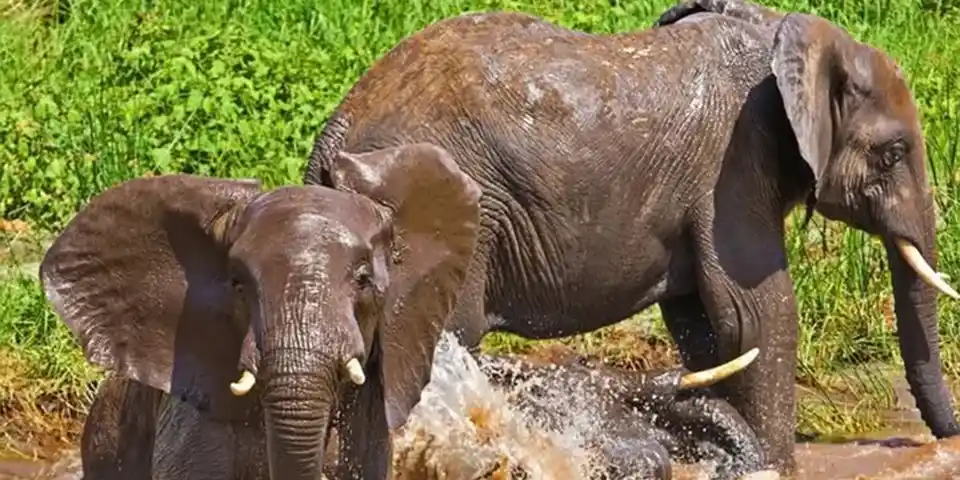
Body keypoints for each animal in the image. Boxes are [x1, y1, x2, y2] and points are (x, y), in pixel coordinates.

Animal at [302, 1, 960, 475]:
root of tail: (333, 134)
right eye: (892, 153)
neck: (785, 34)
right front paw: (775, 467)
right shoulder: (734, 164)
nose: (939, 443)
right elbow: (757, 315)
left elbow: (704, 324)